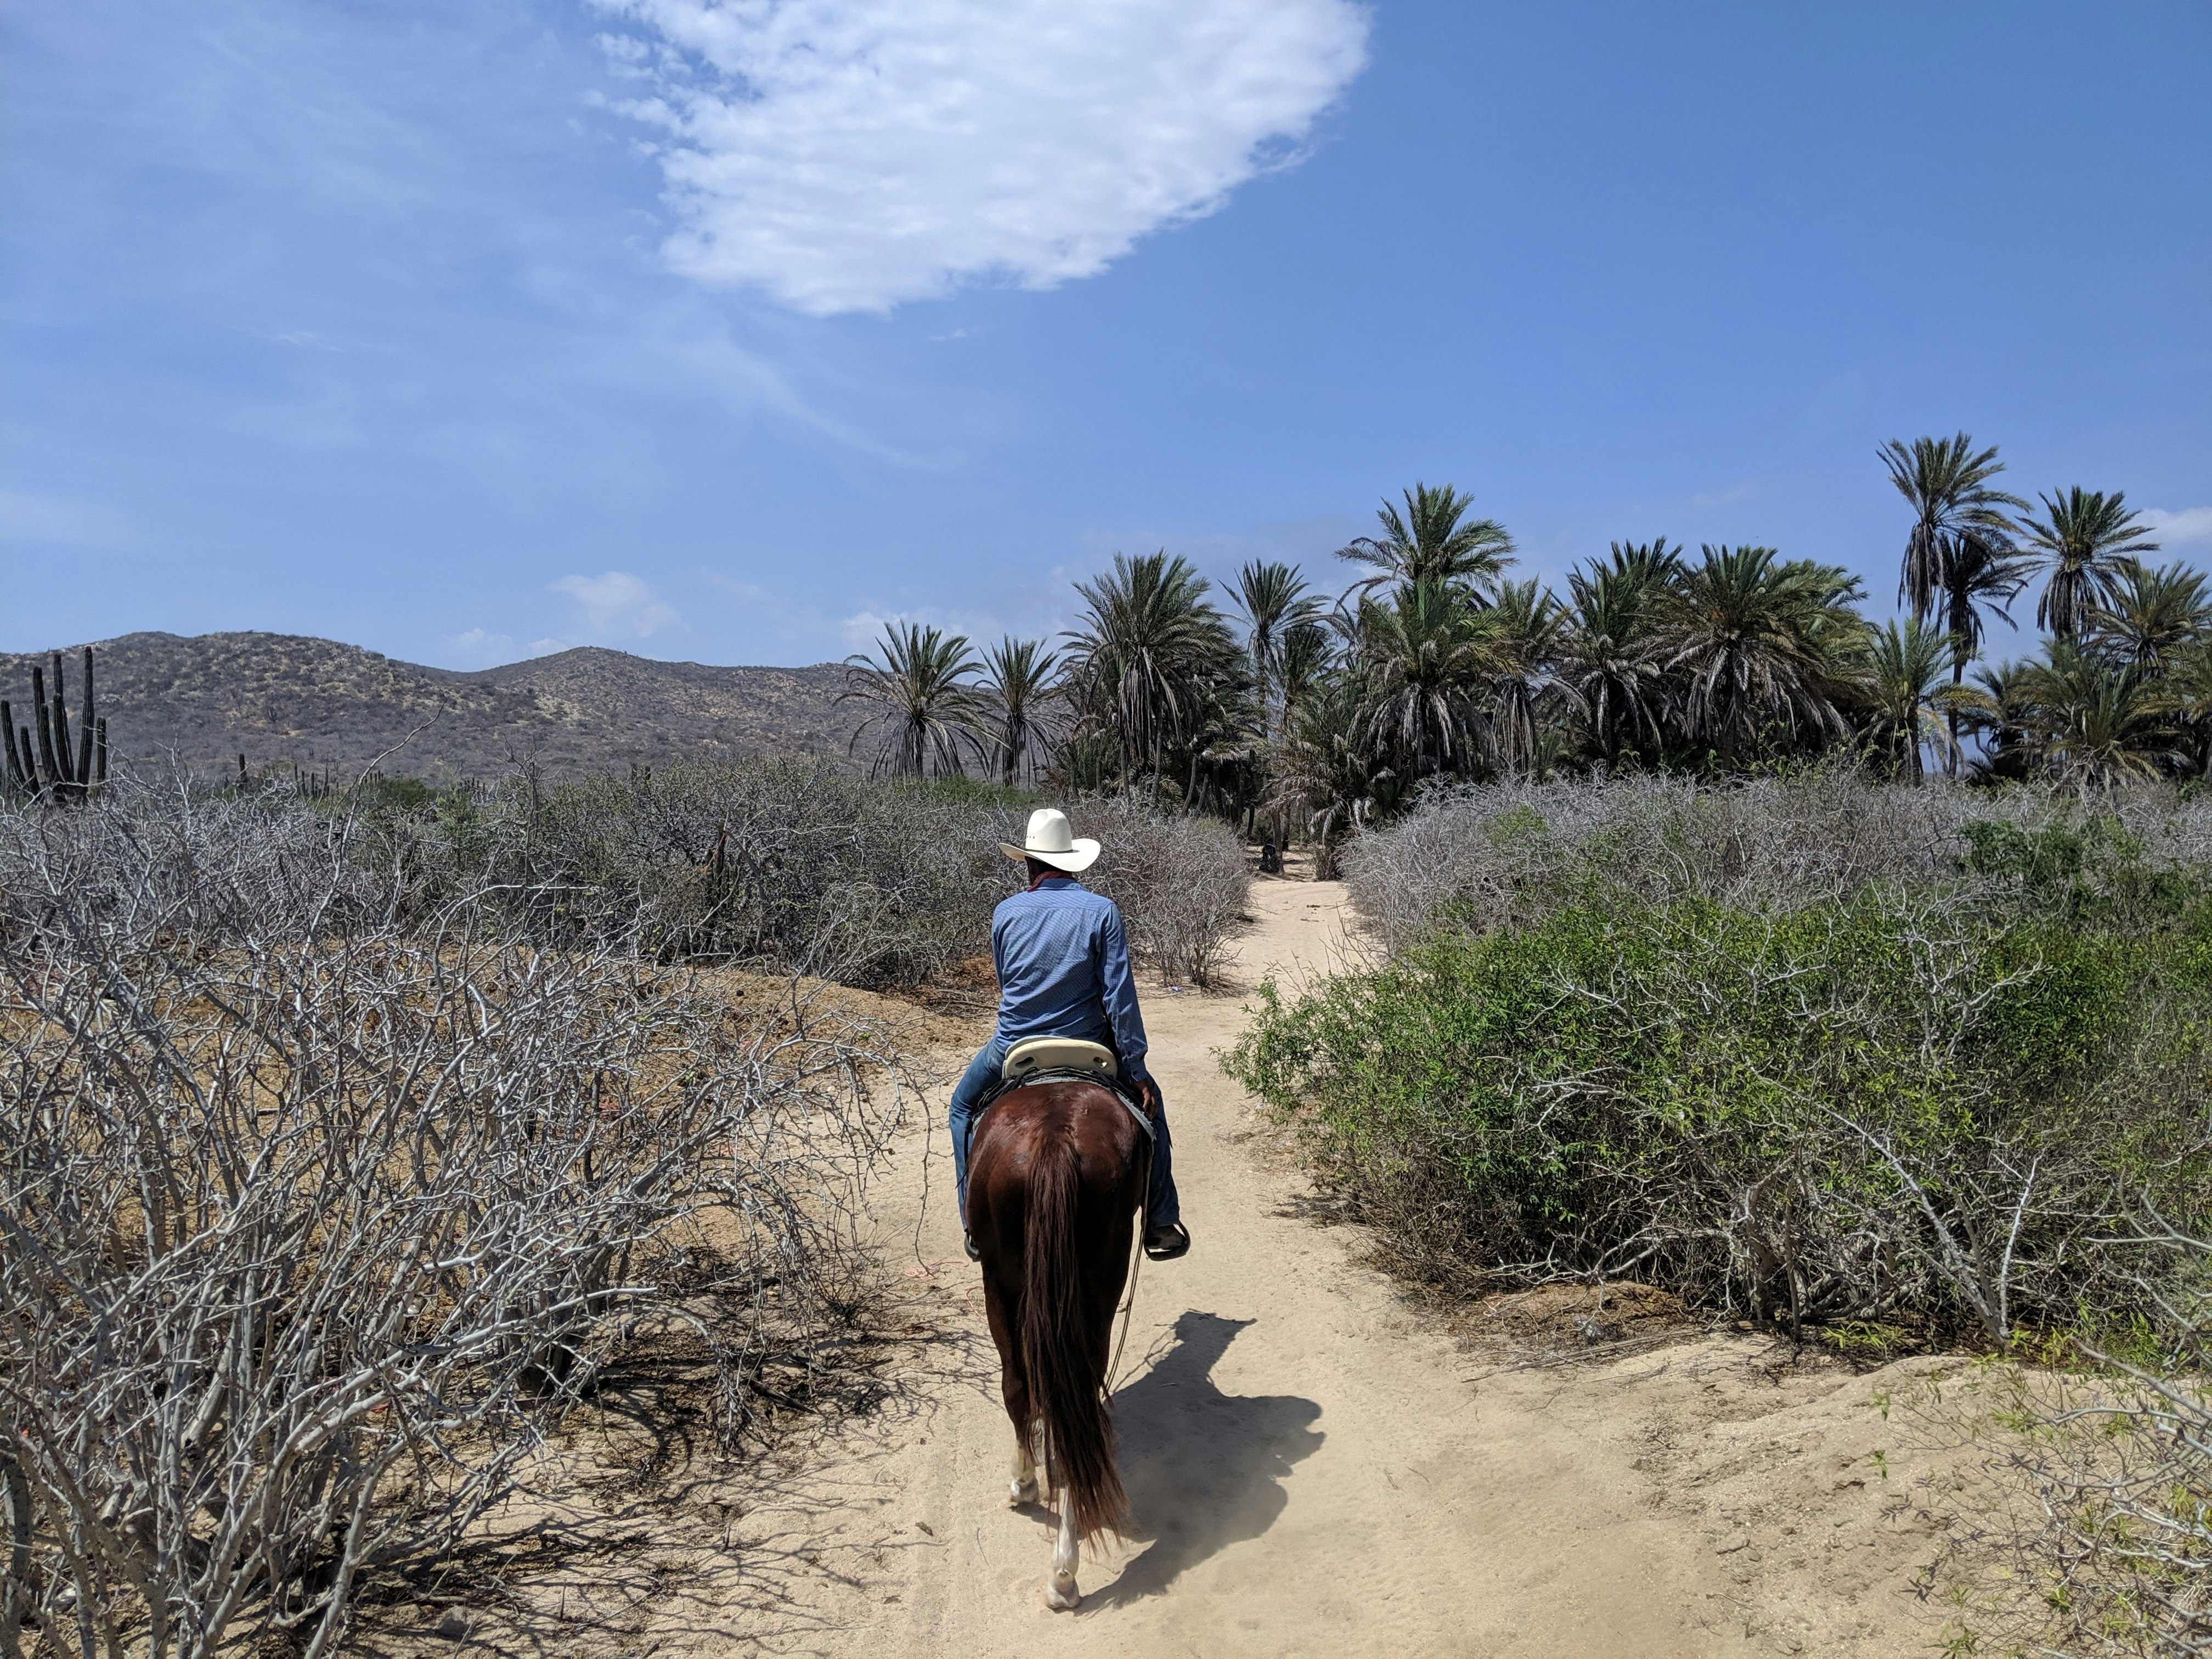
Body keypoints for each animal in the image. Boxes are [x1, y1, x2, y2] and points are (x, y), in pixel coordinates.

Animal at [969, 1079, 1150, 1610]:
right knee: (1065, 1399)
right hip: (1091, 1280)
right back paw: (1064, 1566)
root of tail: (1053, 1139)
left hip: (1006, 1279)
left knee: (1024, 1387)